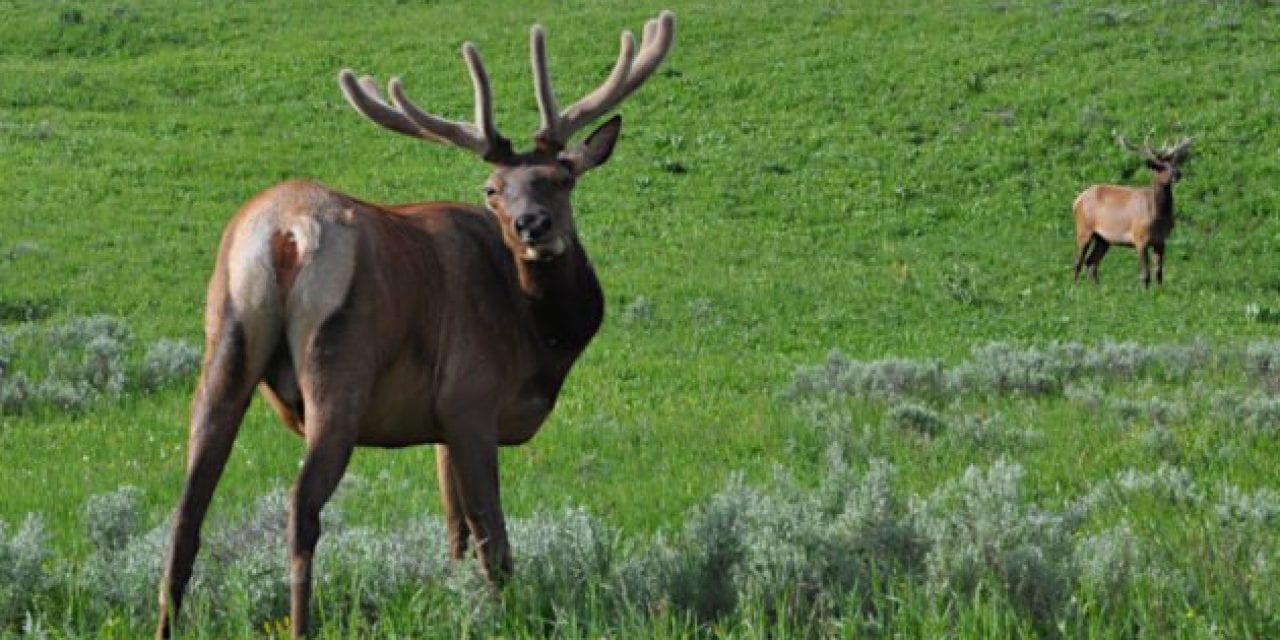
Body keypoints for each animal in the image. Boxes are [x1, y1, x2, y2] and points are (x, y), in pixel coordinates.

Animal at [154, 11, 675, 640]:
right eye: (492, 190)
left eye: (562, 177)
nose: (533, 225)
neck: (539, 340)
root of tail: (284, 233)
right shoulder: (471, 398)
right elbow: (493, 540)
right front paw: (507, 616)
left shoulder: (442, 424)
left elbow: (454, 532)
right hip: (340, 364)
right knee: (301, 505)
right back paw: (302, 623)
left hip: (226, 339)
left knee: (185, 512)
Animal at [1070, 132, 1187, 288]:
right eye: (1159, 166)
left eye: (1174, 163)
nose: (1178, 173)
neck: (1158, 217)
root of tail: (1077, 201)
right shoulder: (1139, 238)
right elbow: (1145, 274)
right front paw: (1144, 292)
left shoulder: (1161, 240)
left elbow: (1159, 272)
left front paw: (1160, 291)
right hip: (1084, 228)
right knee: (1078, 262)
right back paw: (1074, 288)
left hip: (1103, 238)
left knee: (1091, 262)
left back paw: (1097, 288)